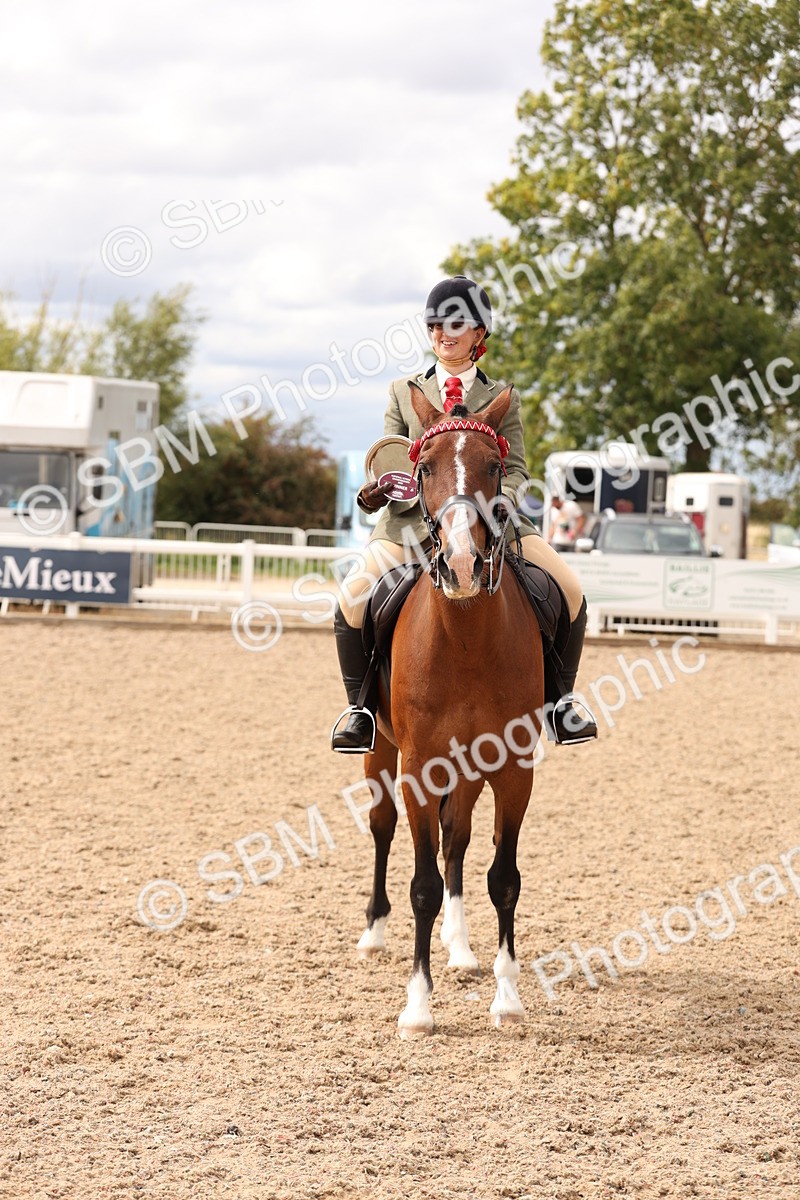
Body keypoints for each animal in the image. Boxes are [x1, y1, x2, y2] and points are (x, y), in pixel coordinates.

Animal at [355, 382, 544, 1037]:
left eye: (493, 468)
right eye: (425, 468)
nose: (462, 565)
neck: (464, 639)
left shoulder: (513, 770)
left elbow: (503, 879)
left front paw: (507, 999)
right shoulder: (417, 766)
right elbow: (422, 885)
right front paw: (417, 1008)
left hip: (467, 770)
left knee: (456, 840)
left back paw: (460, 948)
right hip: (381, 752)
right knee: (383, 828)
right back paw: (374, 932)